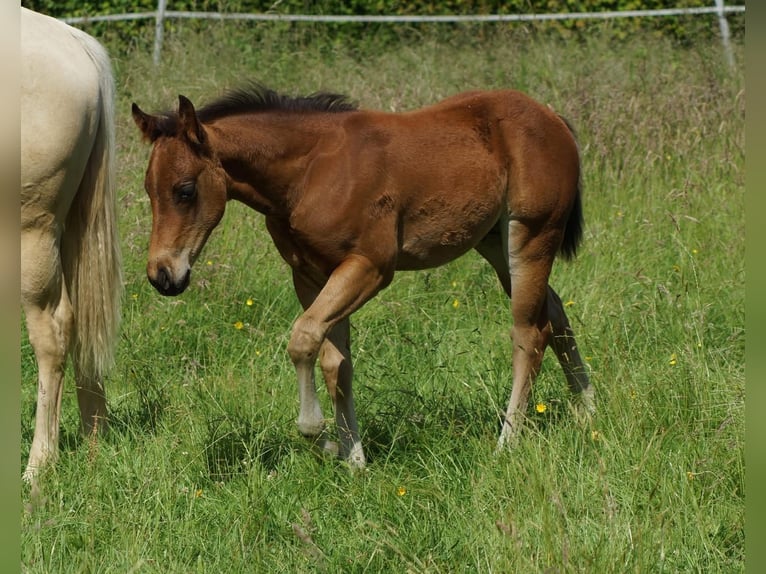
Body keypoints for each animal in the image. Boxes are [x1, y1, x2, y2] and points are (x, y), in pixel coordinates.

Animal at [131, 82, 594, 468]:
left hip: (532, 236)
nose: (162, 275)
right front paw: (353, 458)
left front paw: (319, 436)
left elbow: (303, 340)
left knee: (530, 333)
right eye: (148, 190)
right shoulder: (310, 275)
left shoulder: (369, 267)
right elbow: (336, 362)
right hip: (495, 245)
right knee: (555, 313)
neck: (310, 173)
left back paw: (507, 441)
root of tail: (552, 118)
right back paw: (588, 409)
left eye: (185, 190)